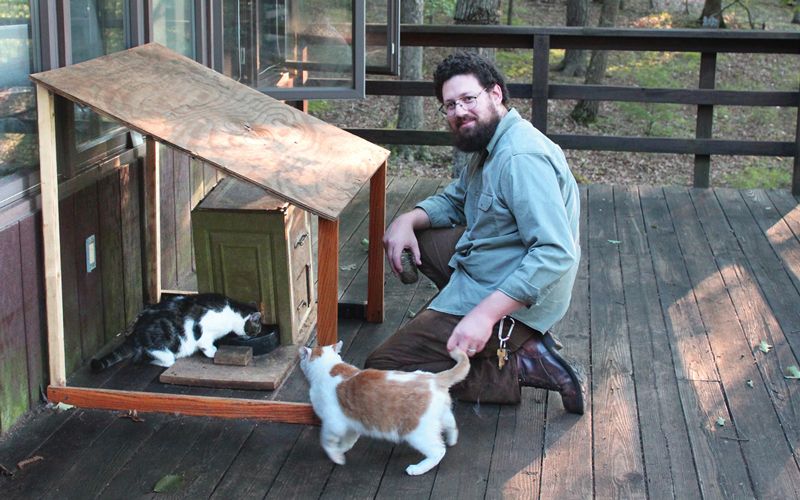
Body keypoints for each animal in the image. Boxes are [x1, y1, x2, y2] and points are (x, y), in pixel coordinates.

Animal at [91, 292, 260, 372]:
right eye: (257, 329)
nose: (255, 335)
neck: (232, 313)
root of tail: (135, 333)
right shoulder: (203, 329)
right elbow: (205, 344)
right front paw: (212, 352)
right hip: (163, 347)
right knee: (164, 359)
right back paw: (157, 361)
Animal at [298, 342, 468, 474]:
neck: (330, 367)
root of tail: (434, 378)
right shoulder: (351, 424)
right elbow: (348, 440)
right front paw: (342, 449)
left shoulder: (333, 424)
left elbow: (327, 442)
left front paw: (337, 457)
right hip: (442, 415)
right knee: (452, 425)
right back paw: (452, 440)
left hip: (418, 433)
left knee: (438, 451)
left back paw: (417, 469)